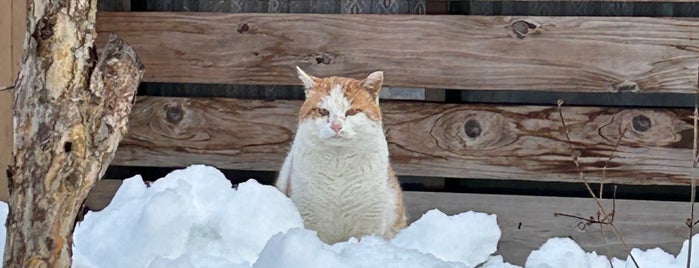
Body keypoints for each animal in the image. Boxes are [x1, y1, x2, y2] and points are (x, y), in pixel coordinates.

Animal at [276, 66, 408, 243]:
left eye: (351, 112)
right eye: (322, 111)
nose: (336, 125)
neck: (338, 165)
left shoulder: (369, 222)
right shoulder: (310, 216)